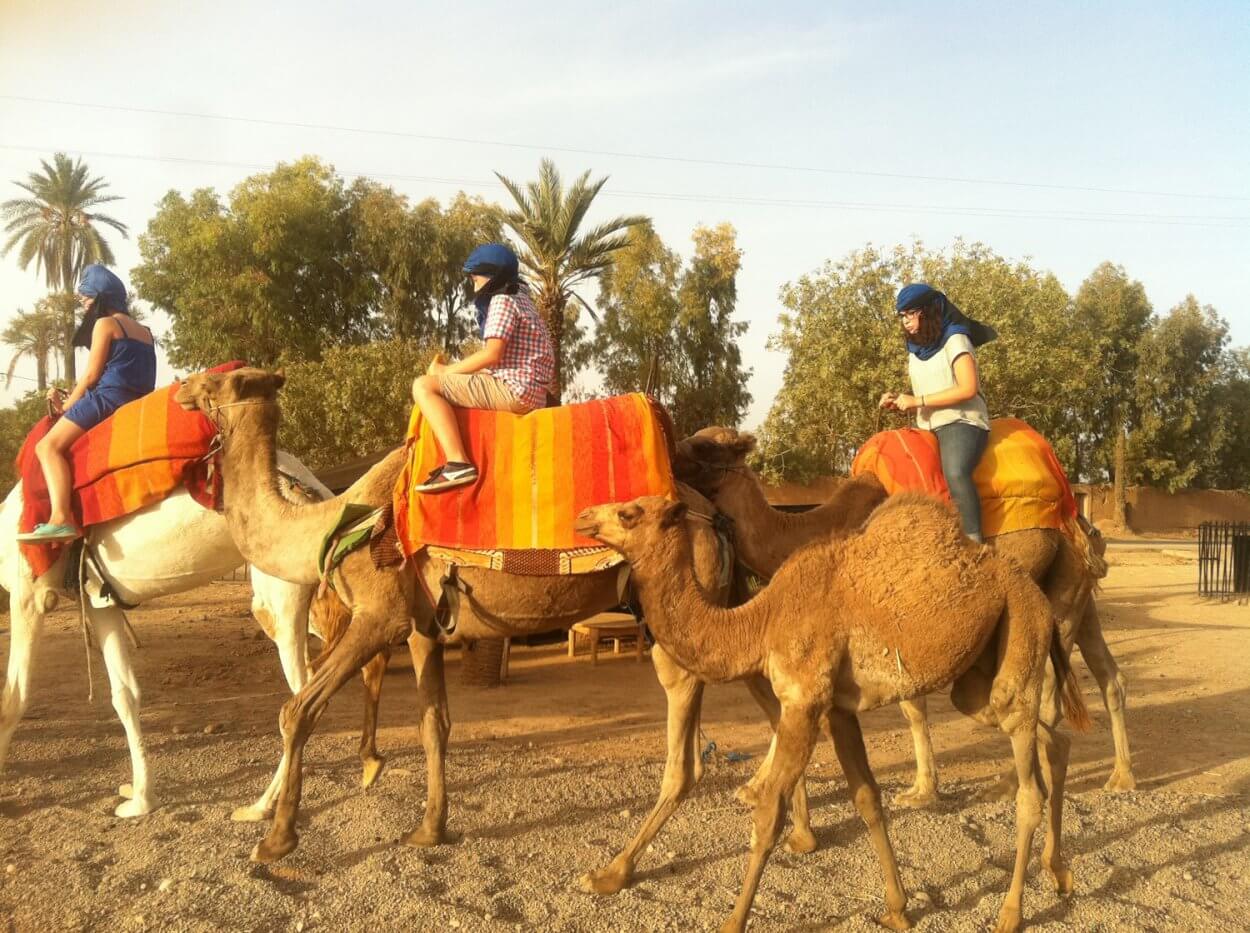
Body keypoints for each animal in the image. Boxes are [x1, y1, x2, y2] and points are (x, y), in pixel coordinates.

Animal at [0, 450, 327, 815]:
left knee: (302, 697)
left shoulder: (29, 593)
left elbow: (13, 698)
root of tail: (313, 489)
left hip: (281, 590)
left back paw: (259, 807)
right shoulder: (99, 598)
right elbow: (124, 694)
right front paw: (141, 799)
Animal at [173, 365, 820, 870]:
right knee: (771, 698)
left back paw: (621, 869)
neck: (337, 520)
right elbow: (434, 724)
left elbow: (297, 711)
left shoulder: (378, 616)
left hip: (680, 616)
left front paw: (276, 841)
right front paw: (429, 829)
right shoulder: (423, 627)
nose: (179, 391)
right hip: (717, 607)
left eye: (219, 380)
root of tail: (713, 516)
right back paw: (802, 835)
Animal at [575, 495, 1085, 930]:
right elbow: (867, 799)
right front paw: (897, 909)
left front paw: (732, 921)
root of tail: (1037, 597)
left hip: (1020, 635)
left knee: (1029, 791)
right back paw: (1059, 872)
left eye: (629, 513)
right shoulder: (839, 709)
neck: (759, 623)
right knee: (1048, 738)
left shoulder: (803, 700)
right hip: (978, 684)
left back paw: (1011, 914)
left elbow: (769, 815)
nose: (583, 517)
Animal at [680, 427, 1140, 800]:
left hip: (1044, 589)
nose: (674, 458)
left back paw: (1012, 784)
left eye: (706, 446)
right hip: (1076, 589)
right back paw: (1121, 777)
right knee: (1108, 676)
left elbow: (909, 706)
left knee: (1047, 693)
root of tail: (1076, 519)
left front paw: (921, 791)